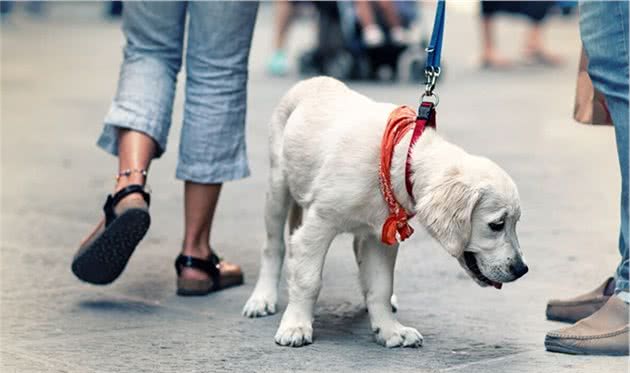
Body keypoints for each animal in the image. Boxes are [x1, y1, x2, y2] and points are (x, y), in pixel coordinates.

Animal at [242, 77, 528, 348]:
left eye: (515, 223)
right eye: (497, 224)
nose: (522, 270)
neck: (397, 159)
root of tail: (311, 81)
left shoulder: (382, 236)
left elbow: (380, 286)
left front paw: (390, 330)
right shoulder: (318, 226)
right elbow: (308, 279)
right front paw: (296, 326)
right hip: (277, 186)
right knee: (273, 246)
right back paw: (262, 298)